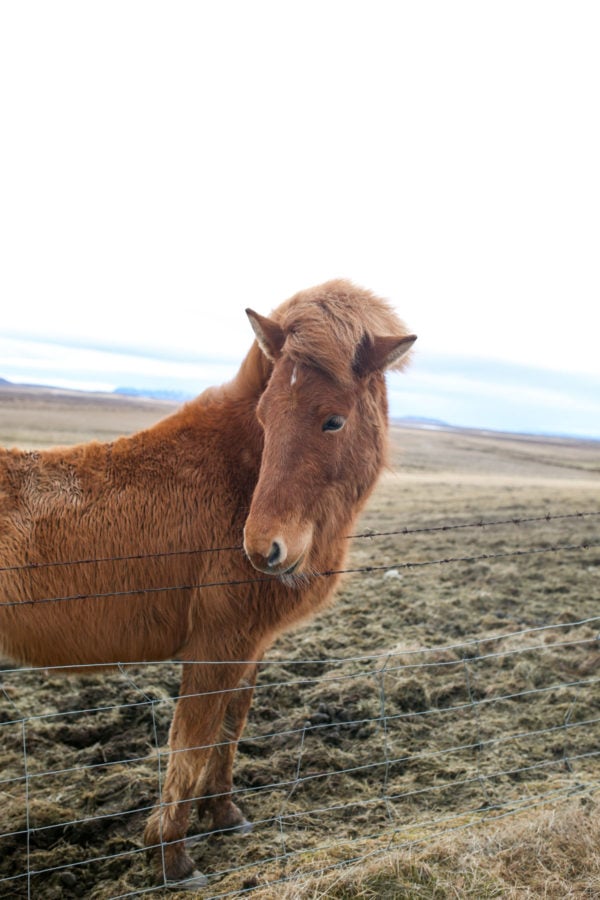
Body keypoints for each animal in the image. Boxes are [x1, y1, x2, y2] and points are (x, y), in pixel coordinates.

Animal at [0, 279, 416, 885]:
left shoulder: (249, 646)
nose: (264, 549)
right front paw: (171, 856)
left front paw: (223, 815)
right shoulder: (215, 644)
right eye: (266, 416)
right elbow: (192, 741)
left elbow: (229, 728)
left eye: (333, 420)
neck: (234, 477)